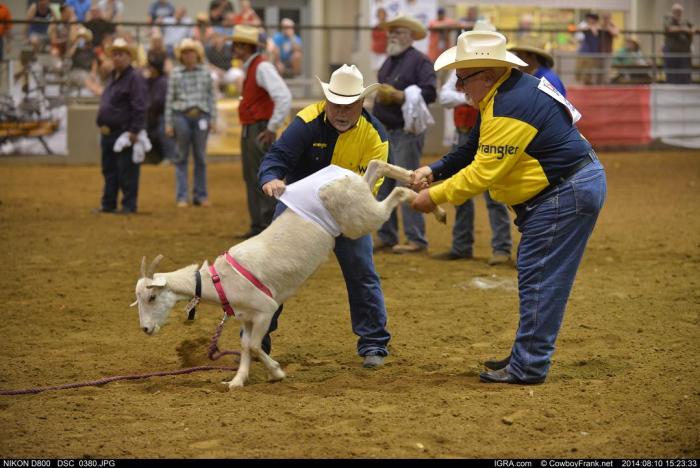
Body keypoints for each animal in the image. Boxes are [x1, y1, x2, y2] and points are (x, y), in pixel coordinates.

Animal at [131, 160, 442, 388]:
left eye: (152, 298)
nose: (145, 330)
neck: (219, 280)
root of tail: (340, 175)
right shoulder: (248, 318)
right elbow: (245, 346)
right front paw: (237, 380)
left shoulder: (265, 309)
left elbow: (254, 346)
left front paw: (277, 373)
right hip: (357, 201)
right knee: (376, 167)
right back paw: (413, 177)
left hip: (360, 218)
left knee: (396, 194)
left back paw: (431, 205)